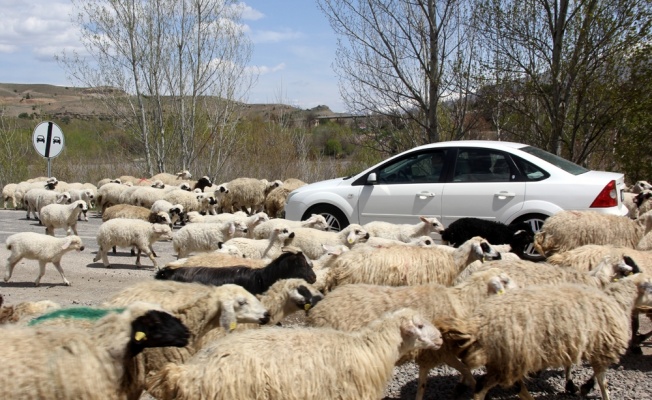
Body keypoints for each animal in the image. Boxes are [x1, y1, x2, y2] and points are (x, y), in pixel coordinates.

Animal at [440, 276, 652, 400]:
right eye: (650, 286)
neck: (618, 302)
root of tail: (479, 323)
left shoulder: (585, 346)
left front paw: (579, 386)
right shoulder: (603, 348)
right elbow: (603, 381)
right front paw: (592, 389)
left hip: (507, 359)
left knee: (510, 385)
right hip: (507, 358)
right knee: (483, 387)